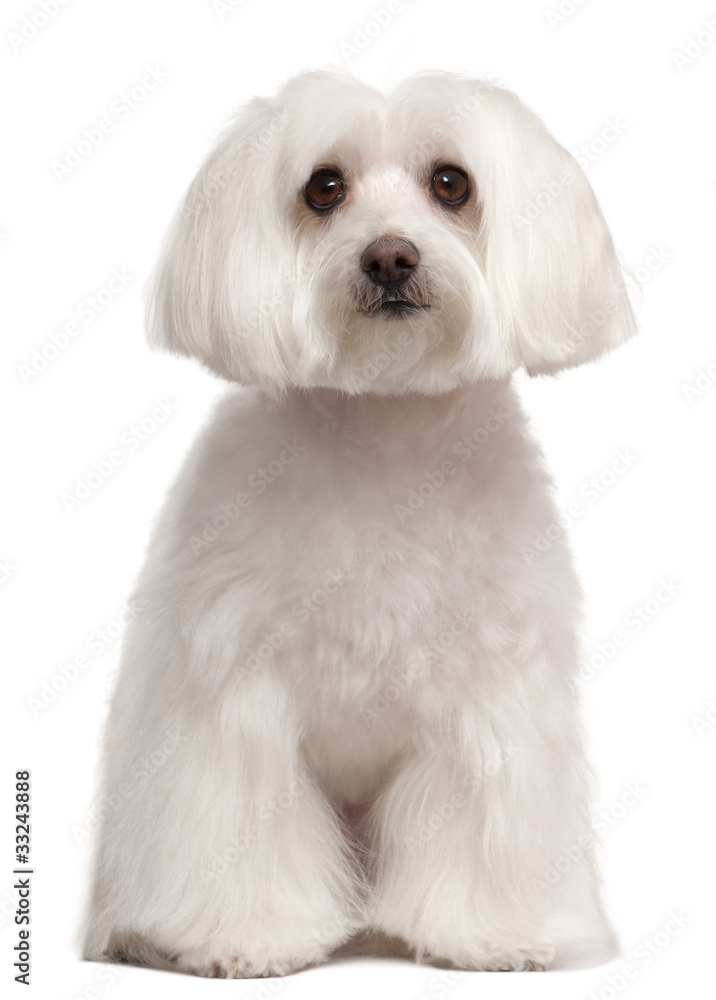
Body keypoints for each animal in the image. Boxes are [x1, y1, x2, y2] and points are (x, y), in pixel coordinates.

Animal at [81, 70, 636, 976]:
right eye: (324, 188)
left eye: (451, 182)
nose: (389, 257)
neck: (387, 427)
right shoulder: (239, 704)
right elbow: (245, 824)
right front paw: (242, 941)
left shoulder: (487, 705)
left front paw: (497, 937)